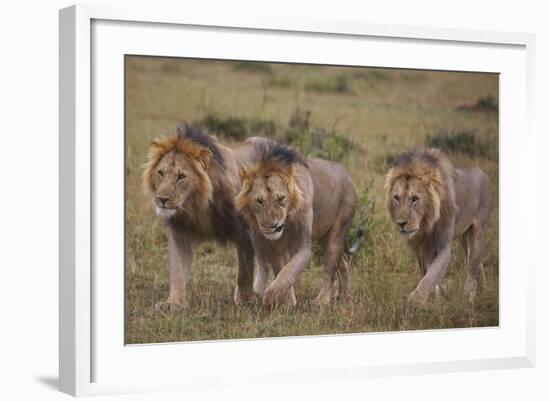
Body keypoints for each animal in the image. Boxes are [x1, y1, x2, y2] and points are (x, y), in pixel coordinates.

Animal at [144, 122, 260, 310]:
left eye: (181, 176)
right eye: (161, 173)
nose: (162, 199)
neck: (197, 205)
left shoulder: (244, 232)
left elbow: (245, 269)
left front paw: (245, 299)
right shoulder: (179, 234)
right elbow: (177, 270)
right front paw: (173, 303)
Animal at [236, 138, 358, 306]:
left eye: (281, 198)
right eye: (259, 201)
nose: (272, 226)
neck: (287, 220)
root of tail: (348, 175)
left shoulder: (303, 247)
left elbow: (288, 273)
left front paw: (272, 300)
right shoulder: (271, 243)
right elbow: (282, 271)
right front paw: (287, 300)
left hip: (337, 231)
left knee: (330, 269)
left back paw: (322, 300)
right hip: (323, 237)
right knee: (343, 263)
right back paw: (344, 298)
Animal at [384, 148, 496, 304]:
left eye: (414, 199)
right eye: (396, 197)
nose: (401, 223)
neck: (426, 223)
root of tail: (484, 174)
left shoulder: (443, 245)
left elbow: (432, 274)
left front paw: (416, 298)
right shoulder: (420, 247)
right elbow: (426, 271)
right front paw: (434, 298)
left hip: (479, 231)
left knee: (473, 265)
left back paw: (469, 296)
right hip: (464, 237)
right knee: (476, 261)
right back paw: (484, 289)